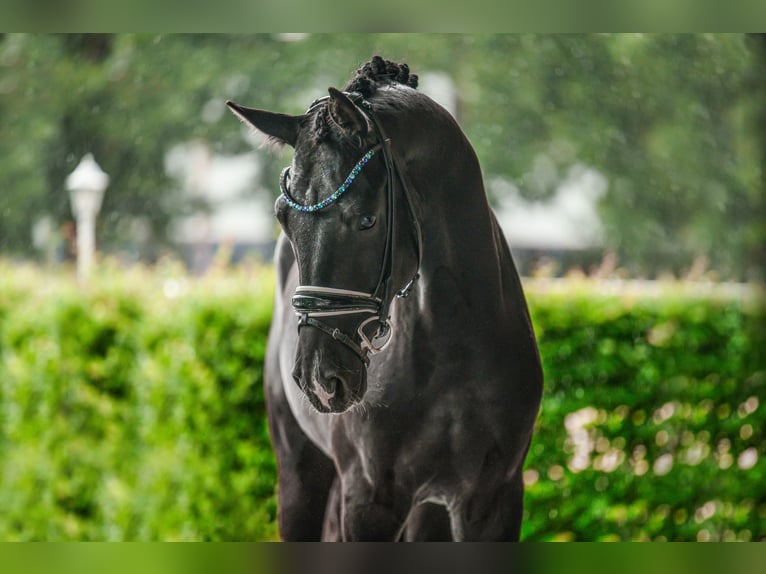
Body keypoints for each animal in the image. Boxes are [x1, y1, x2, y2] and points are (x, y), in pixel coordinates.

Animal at [225, 56, 544, 544]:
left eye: (367, 220)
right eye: (283, 217)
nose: (321, 379)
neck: (452, 341)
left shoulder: (490, 501)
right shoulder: (369, 501)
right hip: (300, 473)